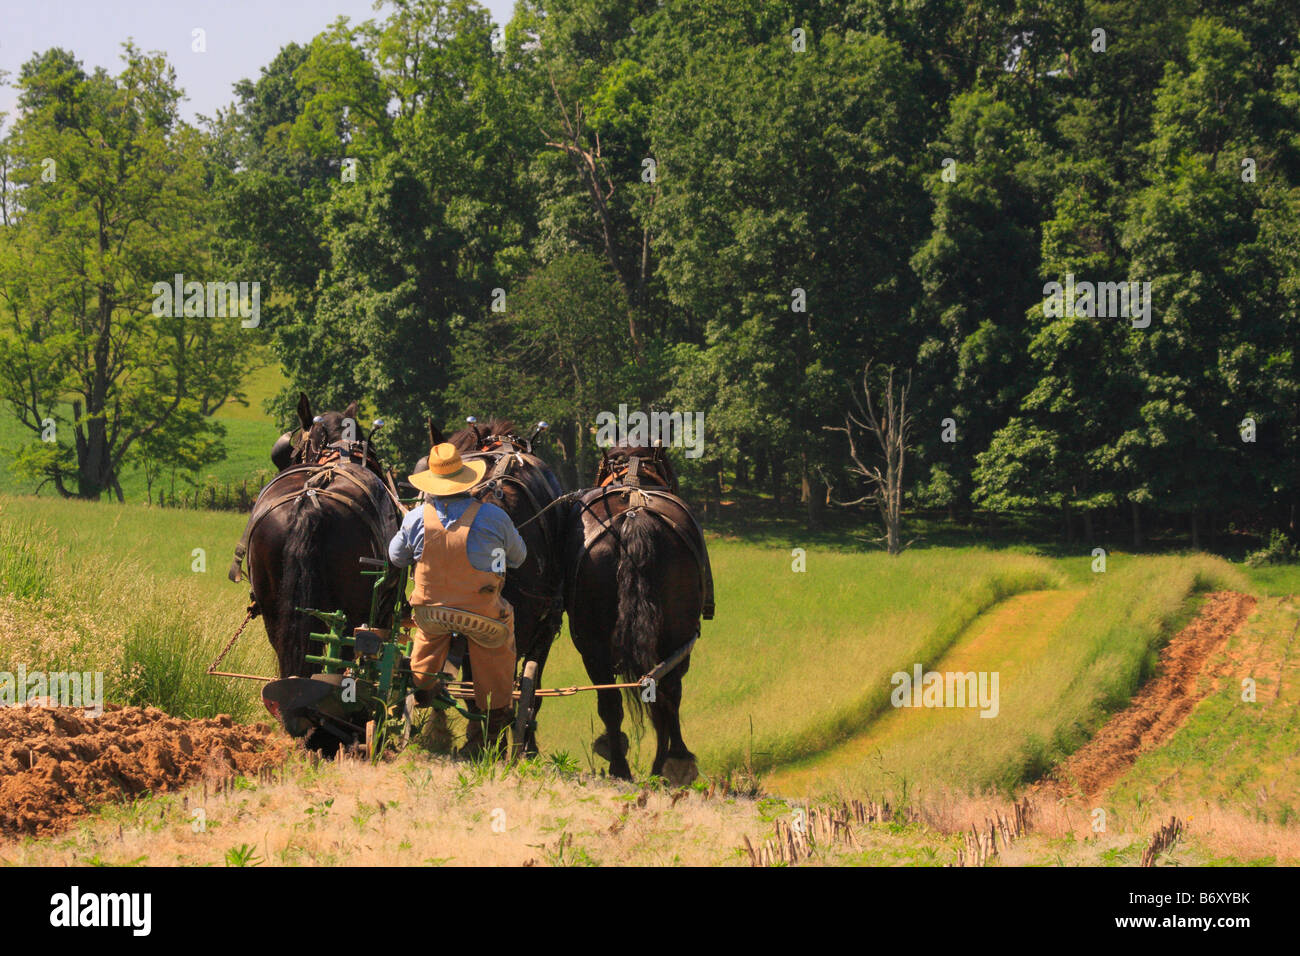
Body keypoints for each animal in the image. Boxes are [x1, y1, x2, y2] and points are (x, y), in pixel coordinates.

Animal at [563, 442, 714, 784]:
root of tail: (634, 518)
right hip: (675, 637)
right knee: (665, 692)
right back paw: (671, 761)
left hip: (592, 648)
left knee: (614, 702)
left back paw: (622, 766)